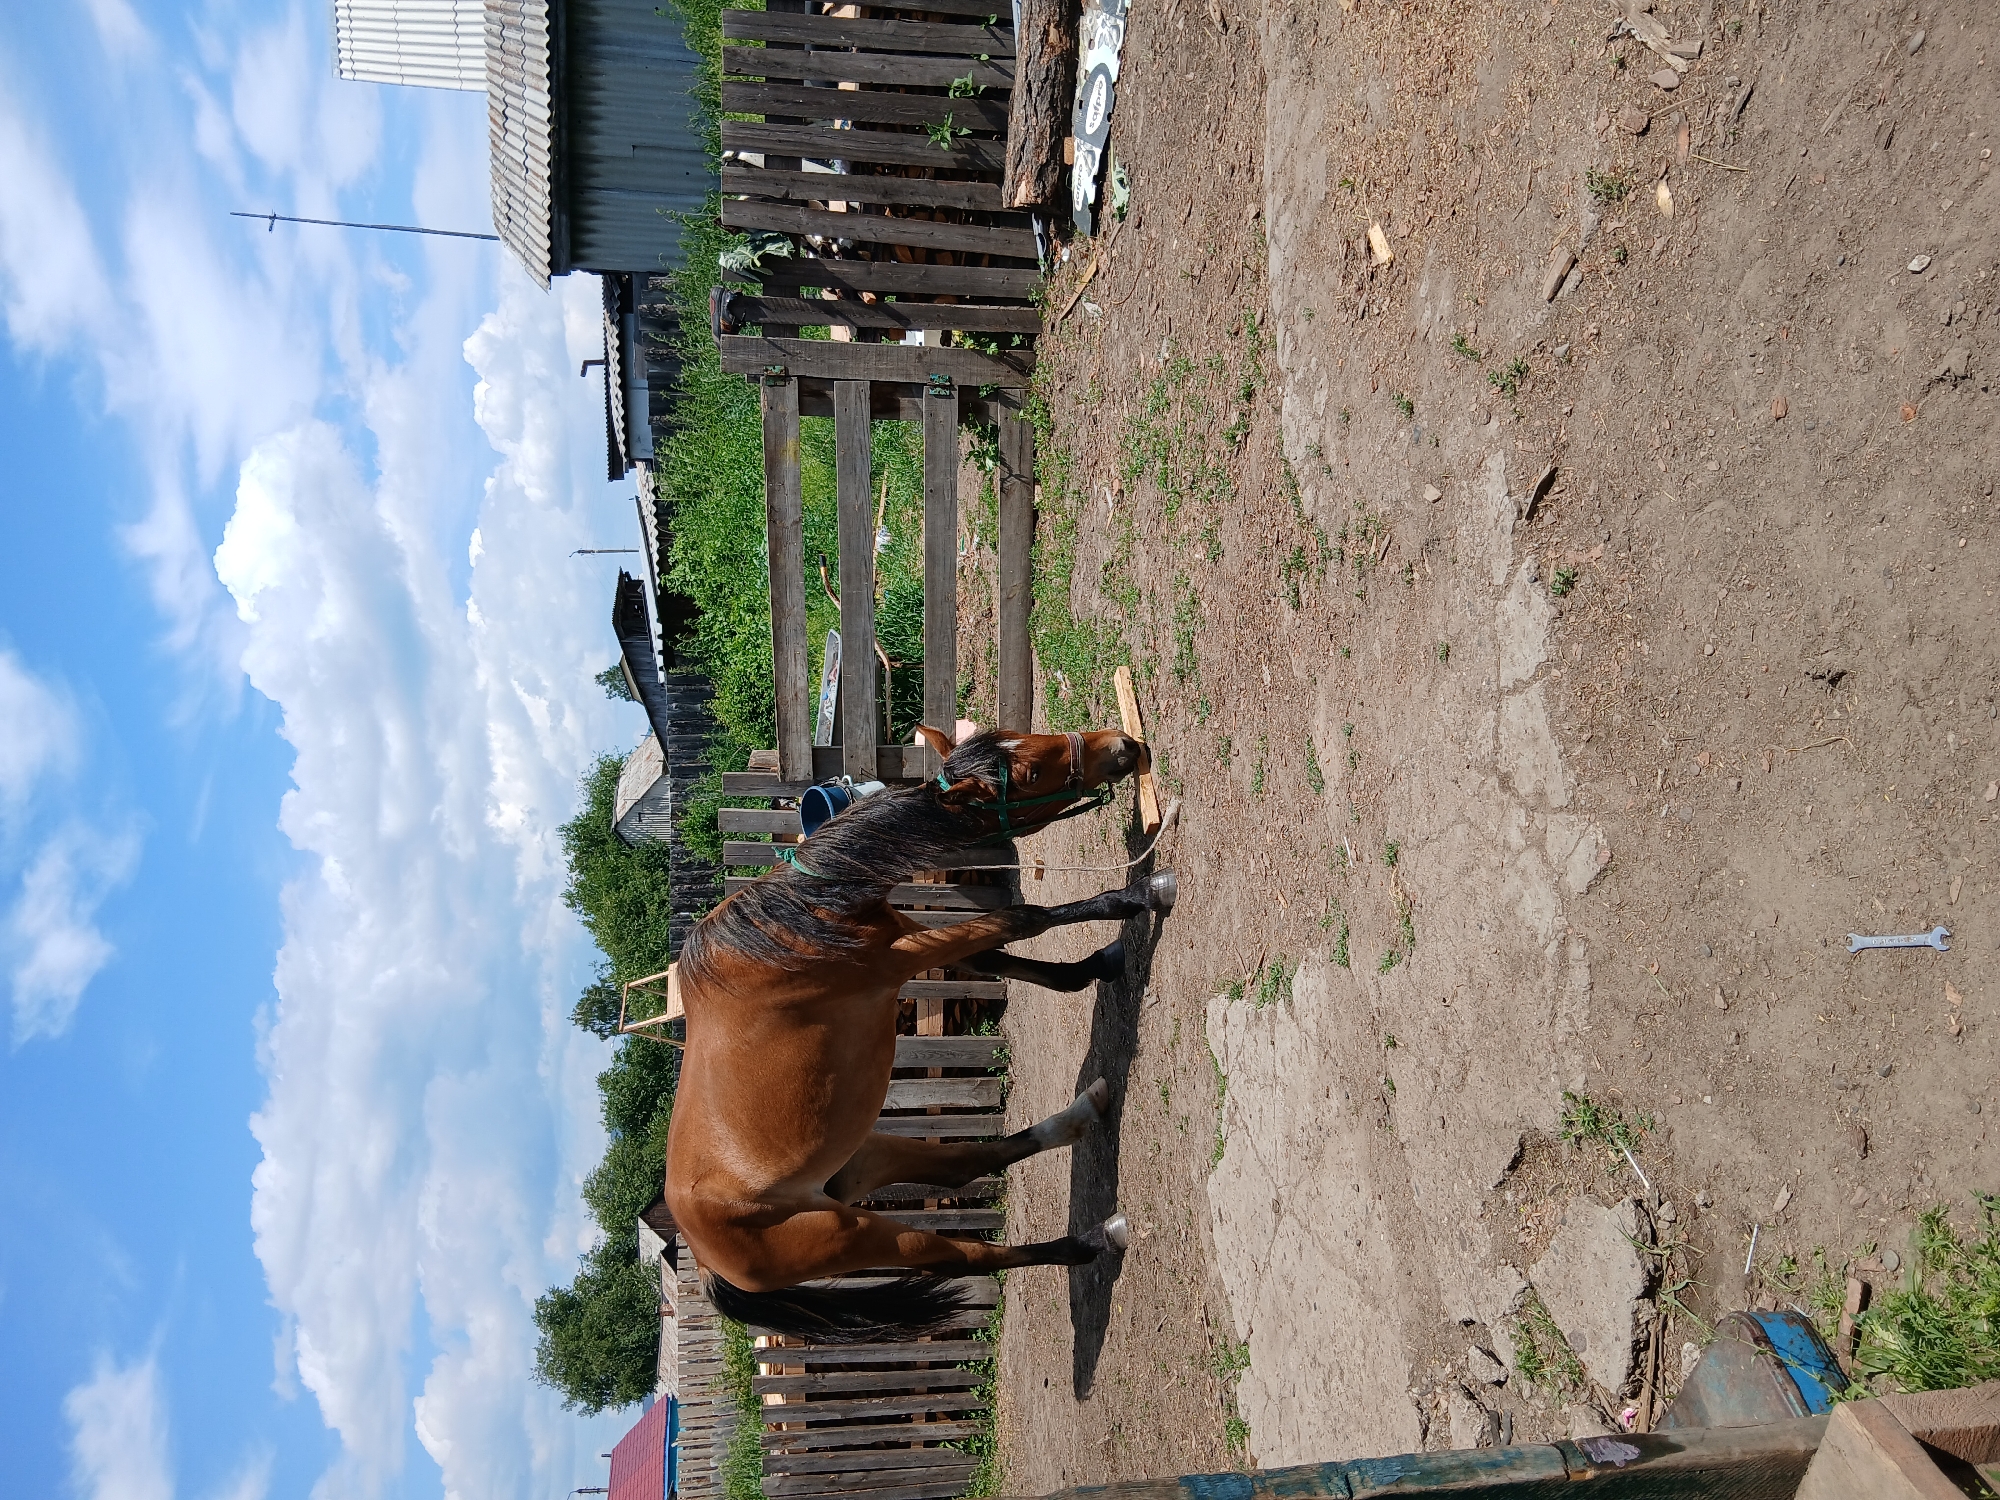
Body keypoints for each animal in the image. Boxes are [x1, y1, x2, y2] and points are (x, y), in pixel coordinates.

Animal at [663, 724, 1174, 1344]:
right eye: (1029, 774)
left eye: (1020, 736)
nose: (1121, 746)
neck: (804, 919)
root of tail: (704, 1260)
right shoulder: (899, 960)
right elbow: (1020, 921)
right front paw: (1137, 898)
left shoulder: (907, 934)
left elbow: (998, 955)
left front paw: (1096, 964)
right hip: (861, 1235)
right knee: (967, 1257)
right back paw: (1091, 1240)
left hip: (865, 1158)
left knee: (961, 1164)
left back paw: (1078, 1116)